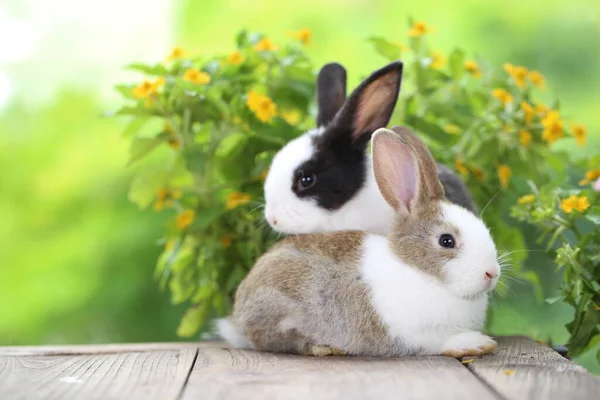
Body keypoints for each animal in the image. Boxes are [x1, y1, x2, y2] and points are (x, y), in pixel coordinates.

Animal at [218, 126, 500, 358]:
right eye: (446, 240)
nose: (492, 273)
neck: (416, 269)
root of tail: (238, 316)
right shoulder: (413, 333)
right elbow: (438, 342)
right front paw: (475, 343)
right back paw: (323, 347)